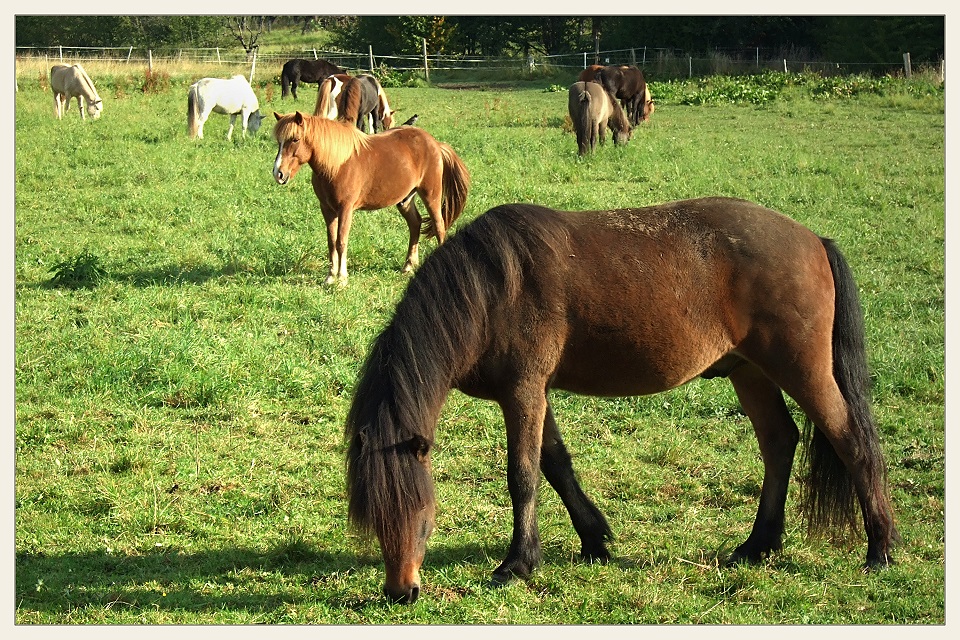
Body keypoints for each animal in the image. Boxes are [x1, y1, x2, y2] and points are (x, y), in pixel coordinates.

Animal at [270, 111, 468, 286]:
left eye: (295, 139)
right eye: (279, 141)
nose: (278, 174)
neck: (336, 165)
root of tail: (435, 143)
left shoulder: (345, 209)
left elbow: (341, 242)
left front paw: (342, 279)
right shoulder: (327, 209)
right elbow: (331, 242)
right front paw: (330, 277)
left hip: (431, 195)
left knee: (439, 226)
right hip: (405, 200)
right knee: (415, 224)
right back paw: (408, 266)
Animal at [344, 198, 900, 604]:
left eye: (421, 515)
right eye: (373, 518)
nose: (401, 592)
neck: (494, 288)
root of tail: (813, 240)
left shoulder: (522, 390)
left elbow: (522, 475)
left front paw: (517, 563)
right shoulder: (536, 392)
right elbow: (556, 465)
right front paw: (594, 540)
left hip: (802, 370)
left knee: (852, 442)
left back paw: (880, 549)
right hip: (751, 372)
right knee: (780, 443)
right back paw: (758, 544)